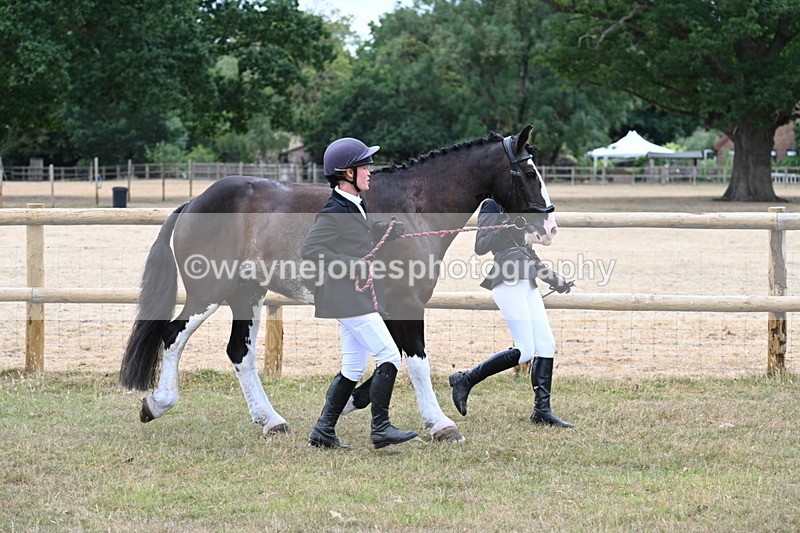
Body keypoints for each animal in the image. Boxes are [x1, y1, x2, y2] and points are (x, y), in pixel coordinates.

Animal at [119, 124, 558, 443]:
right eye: (529, 172)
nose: (549, 228)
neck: (412, 208)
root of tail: (194, 202)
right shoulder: (407, 304)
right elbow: (416, 362)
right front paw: (440, 424)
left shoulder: (386, 306)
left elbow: (386, 364)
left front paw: (348, 403)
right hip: (209, 291)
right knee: (172, 337)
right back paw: (158, 403)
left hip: (247, 294)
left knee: (239, 353)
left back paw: (271, 420)